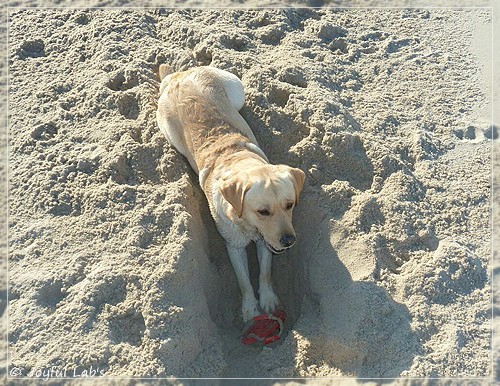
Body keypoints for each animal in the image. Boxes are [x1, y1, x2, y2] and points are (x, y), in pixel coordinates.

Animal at [156, 65, 304, 322]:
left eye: (290, 204)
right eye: (262, 211)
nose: (289, 241)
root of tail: (179, 74)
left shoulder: (266, 242)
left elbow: (265, 272)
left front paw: (267, 299)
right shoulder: (233, 246)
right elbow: (244, 281)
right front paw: (250, 308)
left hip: (237, 89)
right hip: (168, 129)